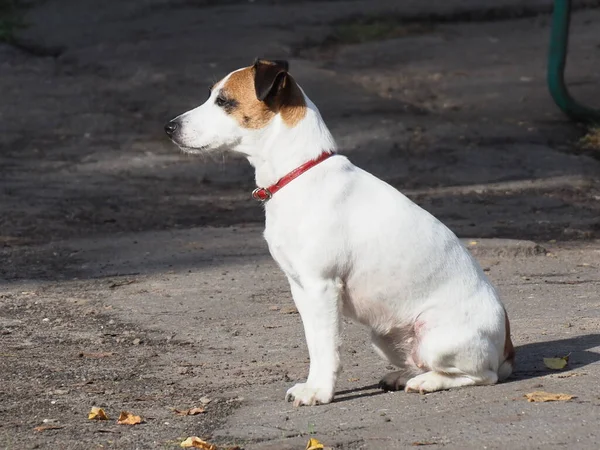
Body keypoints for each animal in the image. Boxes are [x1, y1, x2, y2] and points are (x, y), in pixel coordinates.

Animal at [165, 58, 516, 406]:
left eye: (224, 101)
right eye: (211, 95)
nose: (169, 127)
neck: (300, 172)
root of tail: (507, 347)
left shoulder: (322, 287)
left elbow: (326, 347)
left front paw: (319, 391)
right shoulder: (301, 288)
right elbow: (314, 345)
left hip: (437, 339)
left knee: (481, 375)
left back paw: (427, 382)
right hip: (383, 337)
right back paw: (406, 376)